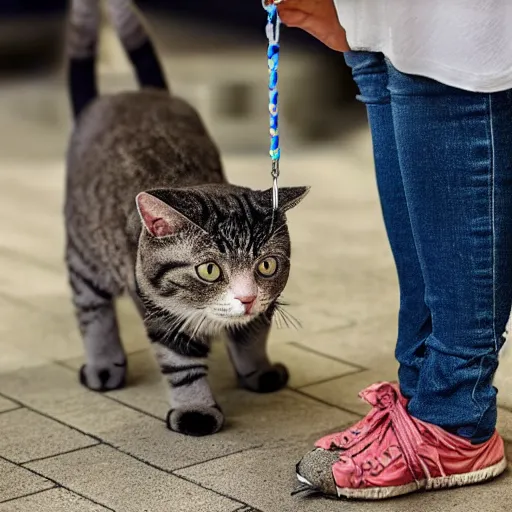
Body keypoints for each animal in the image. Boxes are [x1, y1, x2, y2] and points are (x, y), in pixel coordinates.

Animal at [66, 0, 310, 436]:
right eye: (209, 270)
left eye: (267, 265)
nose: (246, 297)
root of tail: (132, 95)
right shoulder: (160, 312)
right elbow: (182, 366)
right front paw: (196, 410)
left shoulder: (266, 303)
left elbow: (253, 336)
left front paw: (257, 370)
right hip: (84, 255)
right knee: (92, 310)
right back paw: (103, 364)